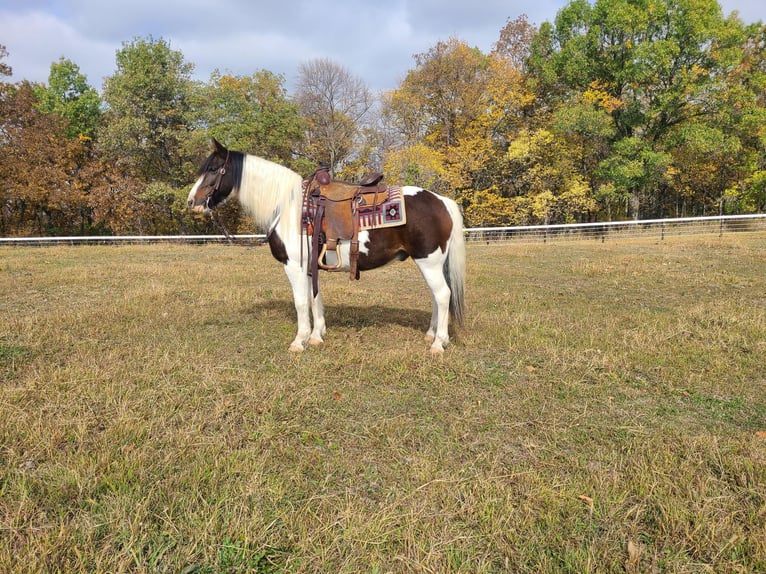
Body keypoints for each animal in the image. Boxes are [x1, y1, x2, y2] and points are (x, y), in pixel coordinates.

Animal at [190, 141, 468, 356]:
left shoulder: (294, 266)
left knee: (443, 295)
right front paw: (316, 335)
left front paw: (299, 341)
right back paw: (431, 334)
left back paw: (438, 344)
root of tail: (441, 201)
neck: (288, 205)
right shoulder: (309, 267)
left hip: (428, 261)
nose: (192, 201)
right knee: (437, 296)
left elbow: (301, 302)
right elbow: (315, 298)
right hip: (430, 263)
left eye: (213, 169)